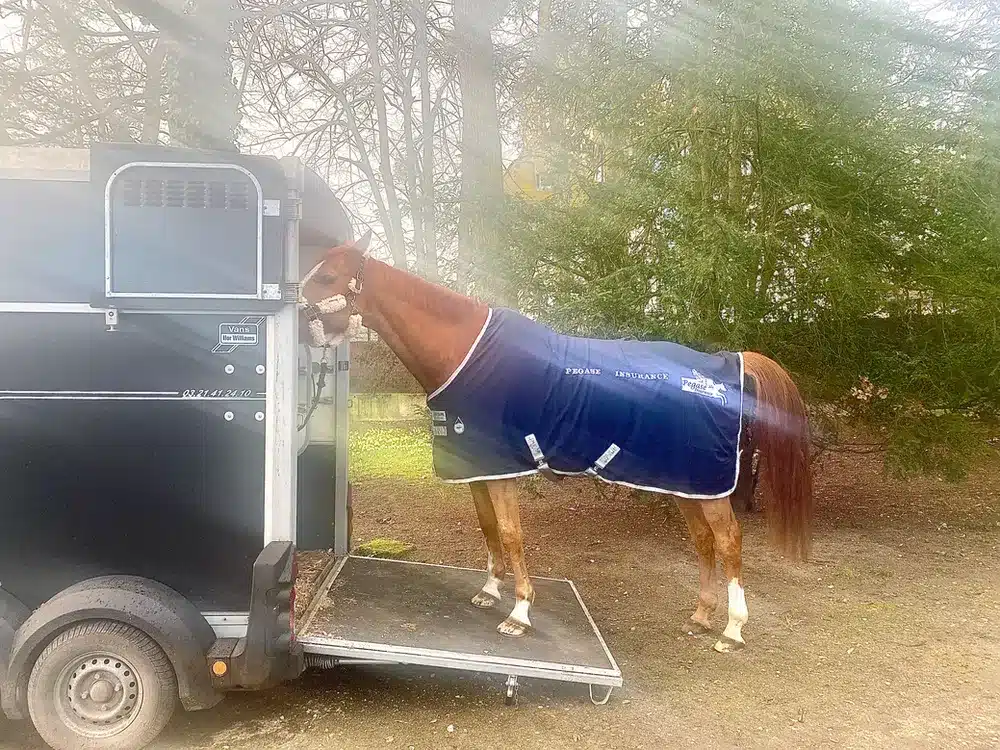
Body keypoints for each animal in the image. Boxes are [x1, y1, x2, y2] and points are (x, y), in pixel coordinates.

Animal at [299, 236, 813, 654]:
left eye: (326, 275)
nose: (297, 316)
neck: (467, 354)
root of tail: (728, 365)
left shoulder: (504, 468)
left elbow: (511, 533)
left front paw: (520, 614)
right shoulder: (479, 468)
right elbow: (488, 527)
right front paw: (490, 590)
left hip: (709, 485)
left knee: (729, 541)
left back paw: (732, 630)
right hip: (685, 482)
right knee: (704, 541)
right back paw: (703, 616)